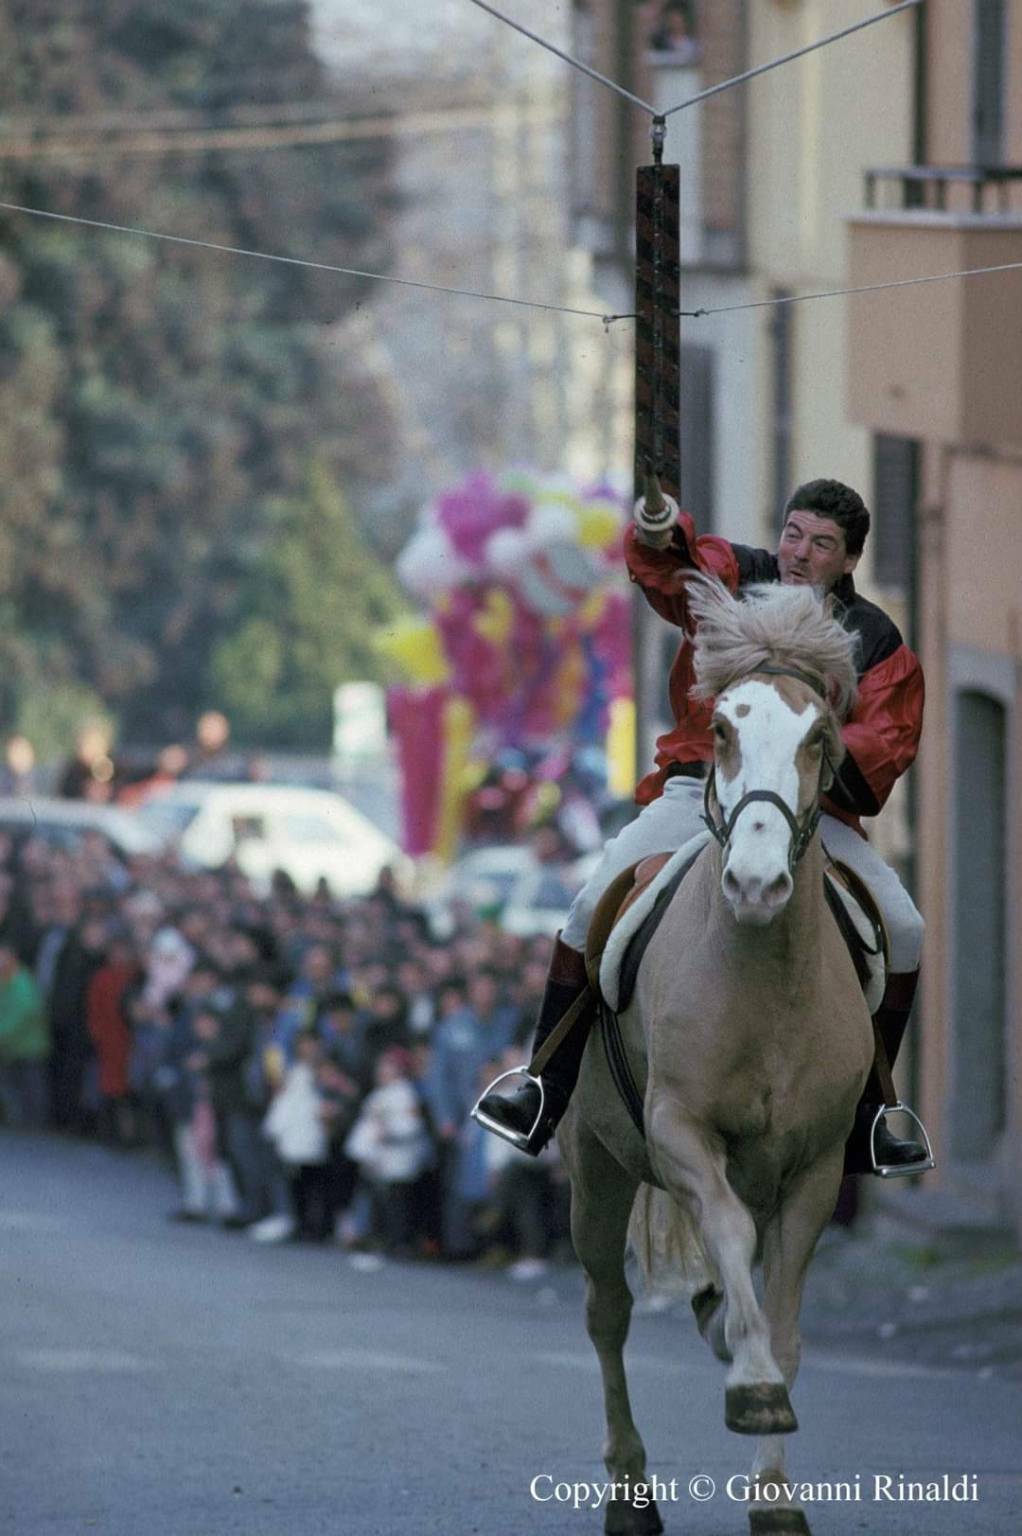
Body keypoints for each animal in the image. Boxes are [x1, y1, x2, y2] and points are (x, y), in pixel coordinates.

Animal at [562, 577, 872, 1536]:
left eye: (818, 738)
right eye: (725, 729)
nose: (757, 884)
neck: (762, 974)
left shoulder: (813, 1169)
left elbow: (784, 1314)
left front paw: (775, 1496)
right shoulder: (681, 1131)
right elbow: (729, 1237)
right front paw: (754, 1387)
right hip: (595, 1168)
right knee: (608, 1313)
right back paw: (629, 1494)